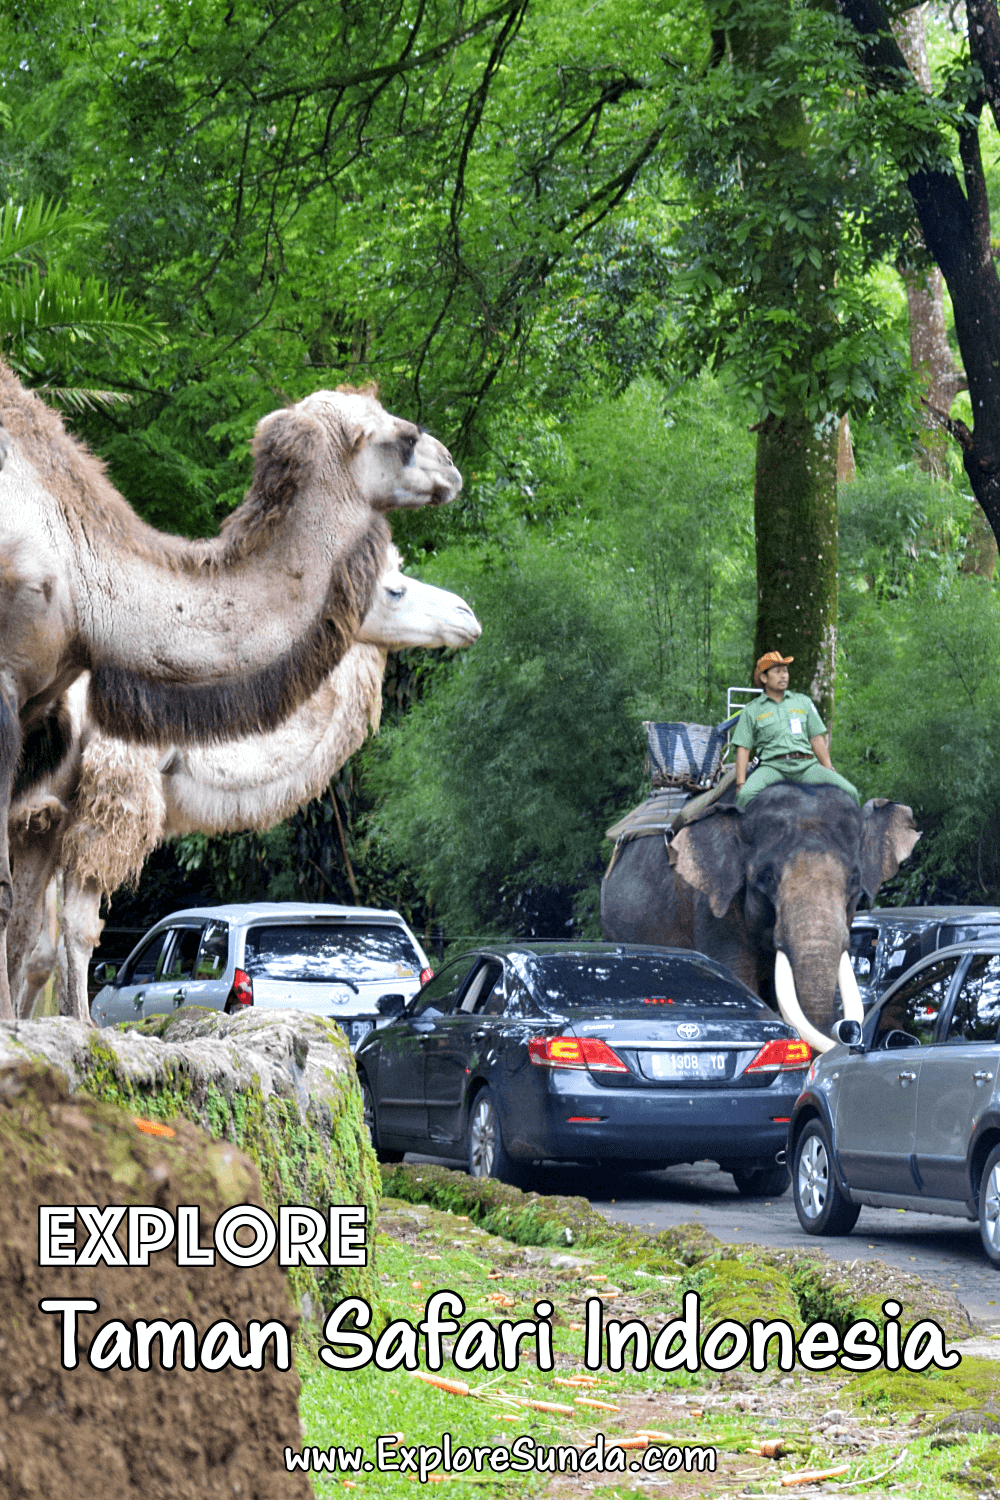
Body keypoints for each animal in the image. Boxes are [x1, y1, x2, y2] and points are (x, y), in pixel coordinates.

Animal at [0, 366, 464, 1020]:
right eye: (394, 588)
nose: (467, 615)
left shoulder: (49, 807)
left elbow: (28, 936)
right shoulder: (111, 788)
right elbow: (72, 928)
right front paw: (81, 1028)